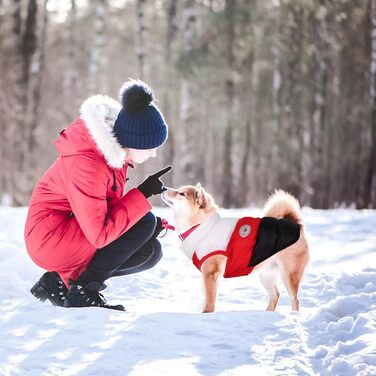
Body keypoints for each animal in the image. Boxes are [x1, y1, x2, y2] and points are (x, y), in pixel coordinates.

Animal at [162, 184, 308, 312]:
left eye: (181, 193)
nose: (163, 188)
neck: (201, 224)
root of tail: (296, 225)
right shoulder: (205, 275)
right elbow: (205, 297)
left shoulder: (210, 273)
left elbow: (209, 302)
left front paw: (207, 314)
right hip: (266, 274)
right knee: (275, 295)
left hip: (289, 275)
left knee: (295, 300)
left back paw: (294, 316)